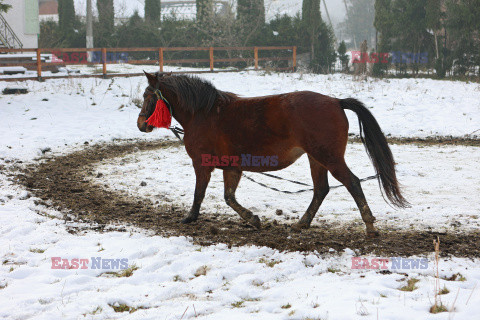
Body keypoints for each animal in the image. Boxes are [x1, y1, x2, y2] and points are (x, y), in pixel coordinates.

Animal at [137, 72, 406, 238]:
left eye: (147, 96)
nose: (141, 124)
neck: (203, 113)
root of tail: (336, 102)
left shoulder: (201, 164)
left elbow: (199, 194)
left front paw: (190, 218)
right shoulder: (231, 167)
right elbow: (229, 197)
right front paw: (252, 219)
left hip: (329, 157)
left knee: (352, 183)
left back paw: (369, 226)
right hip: (316, 158)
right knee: (321, 190)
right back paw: (302, 223)